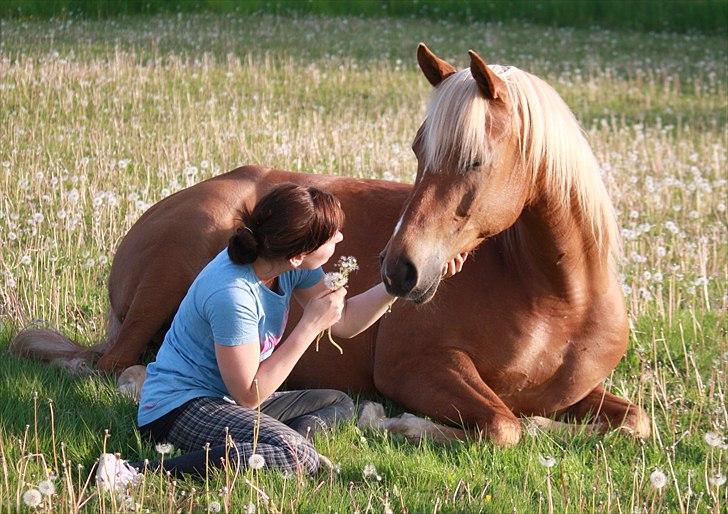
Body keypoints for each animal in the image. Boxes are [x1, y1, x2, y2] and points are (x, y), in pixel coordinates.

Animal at [11, 45, 648, 444]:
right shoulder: (415, 368)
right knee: (113, 368)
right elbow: (504, 425)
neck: (558, 301)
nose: (400, 270)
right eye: (418, 150)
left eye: (474, 160)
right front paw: (390, 422)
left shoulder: (581, 392)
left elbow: (634, 421)